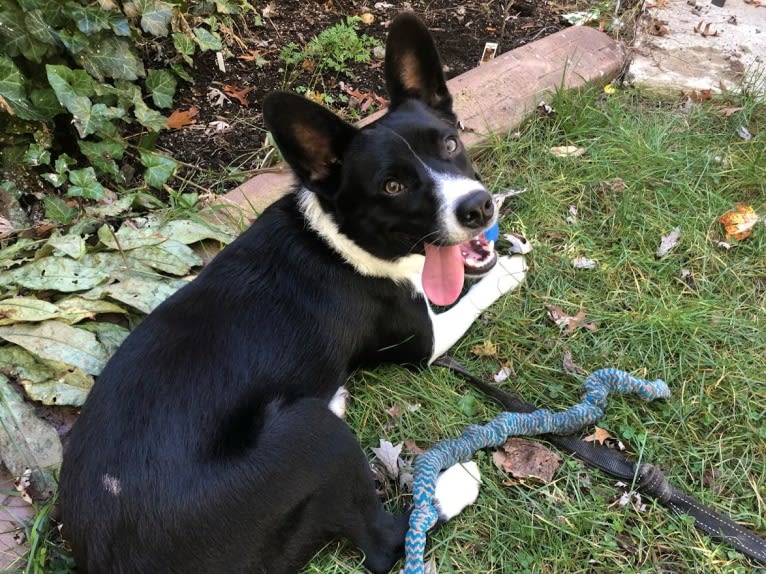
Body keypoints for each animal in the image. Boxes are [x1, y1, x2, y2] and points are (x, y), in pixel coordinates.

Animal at [60, 13, 528, 574]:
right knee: (383, 542)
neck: (340, 236)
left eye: (450, 144)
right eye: (392, 186)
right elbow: (469, 299)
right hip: (310, 433)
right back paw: (447, 486)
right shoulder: (423, 342)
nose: (478, 207)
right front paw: (508, 273)